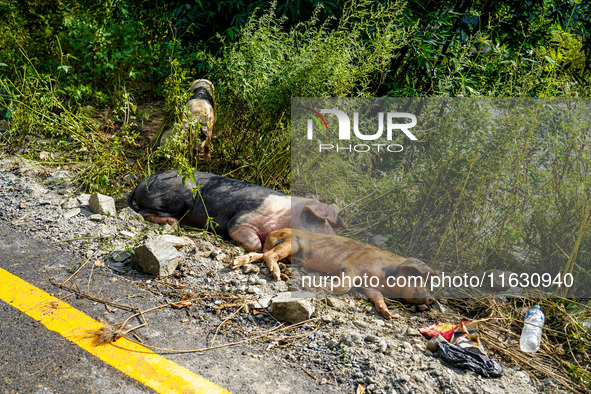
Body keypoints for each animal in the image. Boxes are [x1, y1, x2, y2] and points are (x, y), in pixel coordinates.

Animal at [127, 169, 344, 249]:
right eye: (321, 223)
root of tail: (140, 183)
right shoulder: (244, 218)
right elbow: (246, 237)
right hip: (179, 195)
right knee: (144, 213)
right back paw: (174, 224)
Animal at [234, 229, 438, 318]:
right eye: (418, 279)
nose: (431, 299)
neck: (385, 273)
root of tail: (273, 234)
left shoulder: (369, 286)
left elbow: (377, 297)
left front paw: (388, 314)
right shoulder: (351, 266)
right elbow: (344, 287)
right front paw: (320, 284)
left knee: (259, 255)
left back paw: (237, 263)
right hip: (293, 242)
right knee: (269, 255)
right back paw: (278, 276)